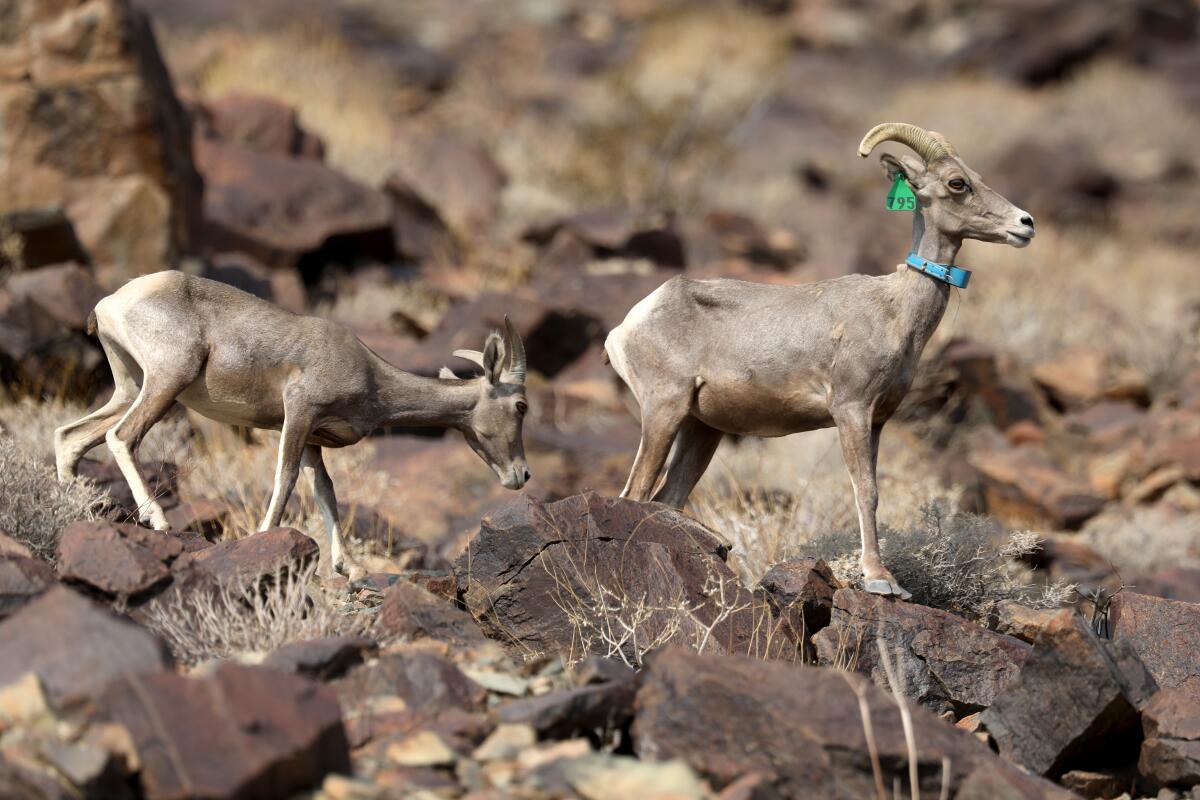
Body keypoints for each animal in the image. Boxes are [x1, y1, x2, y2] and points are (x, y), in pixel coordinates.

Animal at [51, 272, 530, 578]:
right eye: (521, 405)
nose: (522, 475)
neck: (371, 373)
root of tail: (112, 302)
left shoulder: (315, 438)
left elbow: (325, 492)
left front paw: (351, 569)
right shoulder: (299, 412)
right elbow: (284, 478)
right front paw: (264, 539)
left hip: (129, 386)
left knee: (70, 437)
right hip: (167, 382)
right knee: (120, 436)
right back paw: (158, 520)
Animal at [604, 123, 1036, 599]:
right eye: (957, 183)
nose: (1025, 223)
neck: (895, 311)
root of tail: (627, 325)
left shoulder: (877, 420)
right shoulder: (851, 410)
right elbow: (866, 491)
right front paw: (881, 580)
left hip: (702, 430)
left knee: (667, 498)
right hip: (664, 411)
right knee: (634, 493)